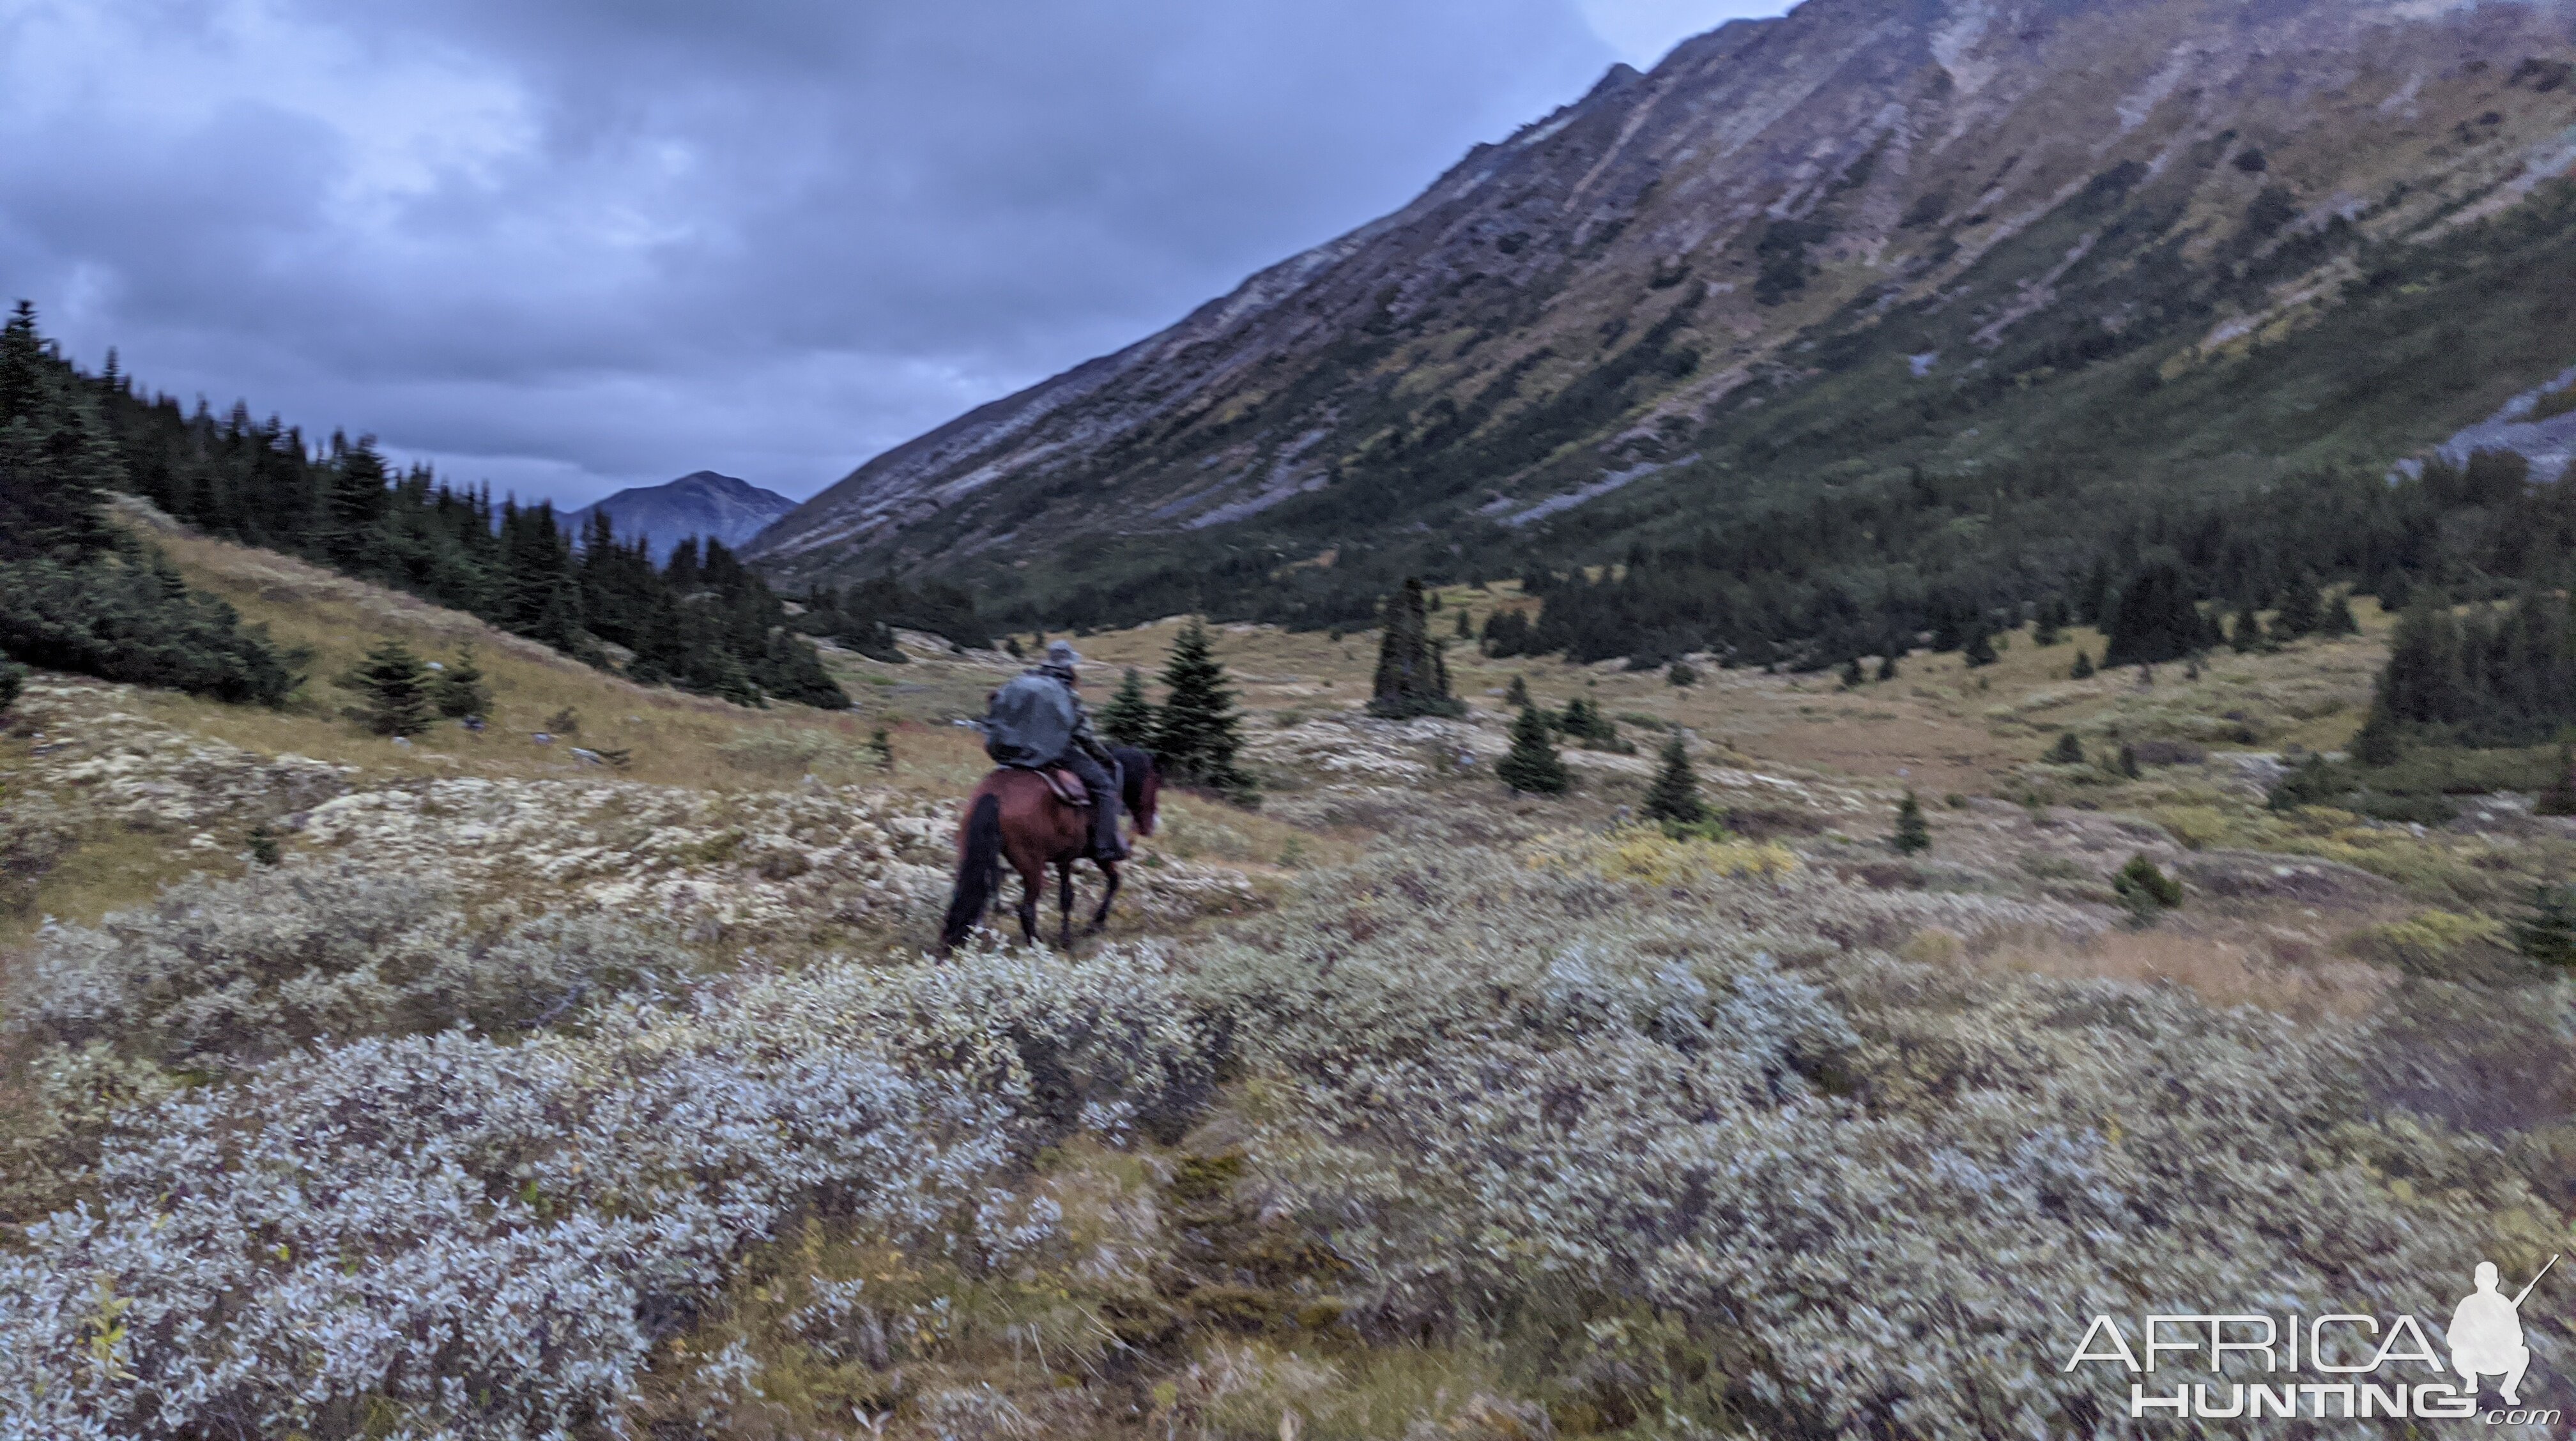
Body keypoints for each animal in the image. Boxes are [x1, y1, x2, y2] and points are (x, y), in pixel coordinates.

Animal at [942, 741, 1164, 957]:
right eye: (1154, 784)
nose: (1149, 827)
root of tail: (995, 794)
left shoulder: (1066, 858)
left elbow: (1079, 892)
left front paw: (1078, 932)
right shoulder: (1092, 855)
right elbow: (1099, 886)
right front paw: (1087, 928)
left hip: (978, 855)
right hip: (1031, 864)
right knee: (1026, 909)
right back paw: (1038, 946)